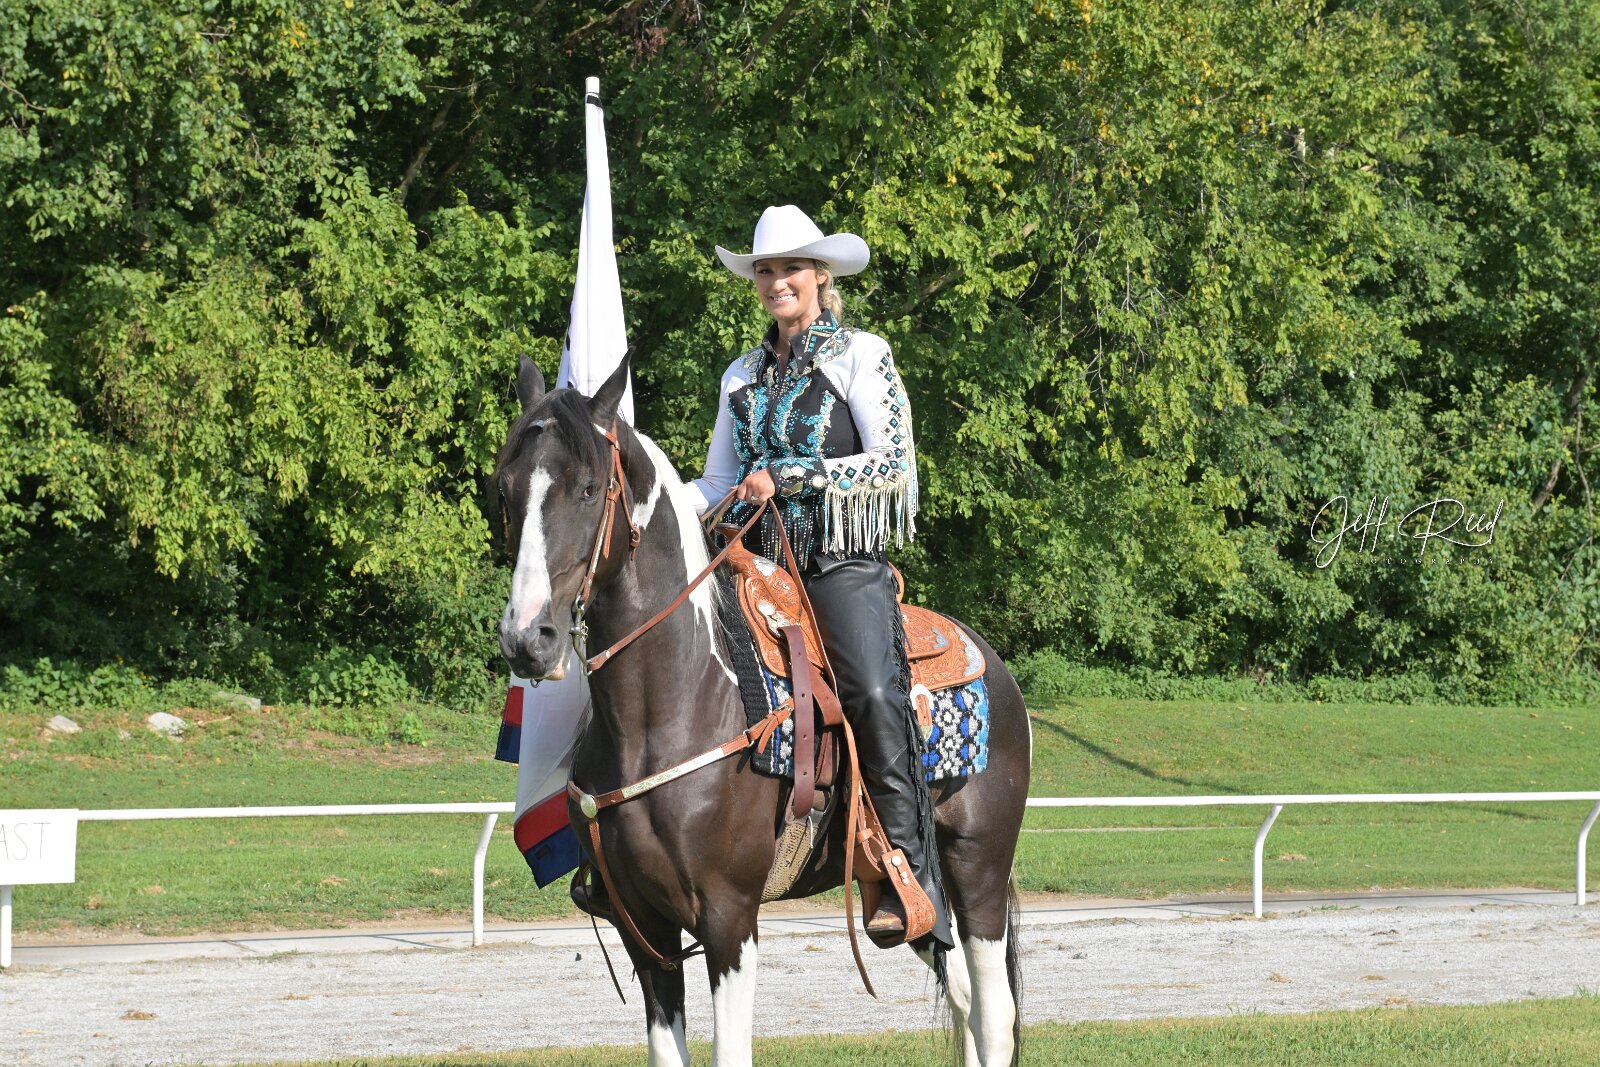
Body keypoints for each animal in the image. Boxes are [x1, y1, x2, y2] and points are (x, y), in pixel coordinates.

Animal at [495, 355, 1031, 1067]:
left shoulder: (729, 919)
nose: (528, 638)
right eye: (506, 490)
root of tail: (991, 662)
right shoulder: (645, 931)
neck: (674, 708)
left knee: (994, 1013)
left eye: (587, 489)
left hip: (978, 869)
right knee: (967, 1007)